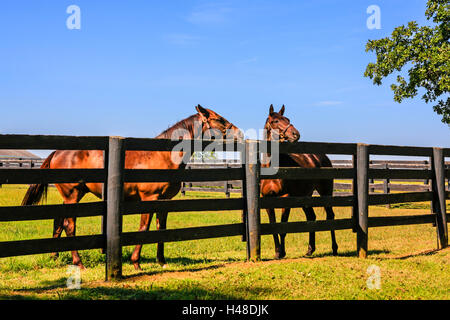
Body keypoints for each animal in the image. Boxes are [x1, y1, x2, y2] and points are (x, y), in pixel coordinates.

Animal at [21, 105, 243, 270]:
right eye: (220, 120)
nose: (240, 133)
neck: (161, 156)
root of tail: (57, 152)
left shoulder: (164, 201)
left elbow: (160, 229)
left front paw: (161, 261)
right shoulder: (149, 198)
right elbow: (144, 228)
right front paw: (136, 263)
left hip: (71, 197)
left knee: (59, 221)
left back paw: (55, 255)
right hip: (72, 195)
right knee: (69, 225)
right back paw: (79, 263)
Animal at [260, 105, 338, 260]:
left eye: (288, 119)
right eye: (276, 121)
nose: (296, 134)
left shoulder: (286, 198)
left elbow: (283, 227)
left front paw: (282, 252)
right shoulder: (267, 199)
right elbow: (273, 225)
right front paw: (277, 252)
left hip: (325, 192)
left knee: (330, 216)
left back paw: (334, 248)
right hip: (305, 196)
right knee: (311, 217)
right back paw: (310, 250)